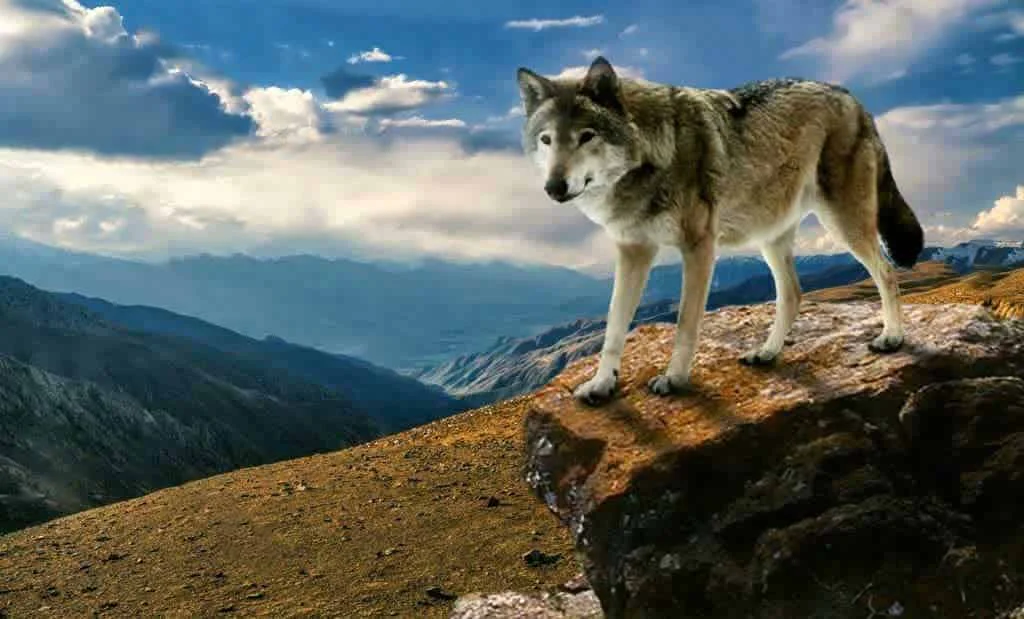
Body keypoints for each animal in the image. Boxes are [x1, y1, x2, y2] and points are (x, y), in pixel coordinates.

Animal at [516, 57, 924, 405]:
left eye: (586, 136)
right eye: (547, 140)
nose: (554, 187)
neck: (649, 159)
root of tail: (851, 96)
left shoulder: (698, 246)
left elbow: (685, 322)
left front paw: (674, 380)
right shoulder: (633, 251)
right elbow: (614, 328)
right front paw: (602, 385)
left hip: (842, 222)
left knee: (886, 272)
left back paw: (892, 337)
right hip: (771, 237)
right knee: (793, 293)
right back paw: (767, 353)